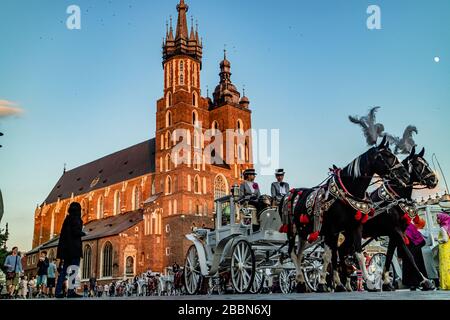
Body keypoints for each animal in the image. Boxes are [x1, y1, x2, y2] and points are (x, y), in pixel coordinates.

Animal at [280, 136, 410, 292]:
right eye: (387, 155)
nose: (406, 175)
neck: (347, 193)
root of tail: (289, 194)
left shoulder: (355, 228)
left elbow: (357, 254)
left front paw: (367, 282)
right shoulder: (332, 230)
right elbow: (328, 256)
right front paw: (323, 283)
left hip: (303, 232)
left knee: (299, 255)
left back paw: (301, 282)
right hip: (291, 230)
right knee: (292, 253)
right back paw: (301, 280)